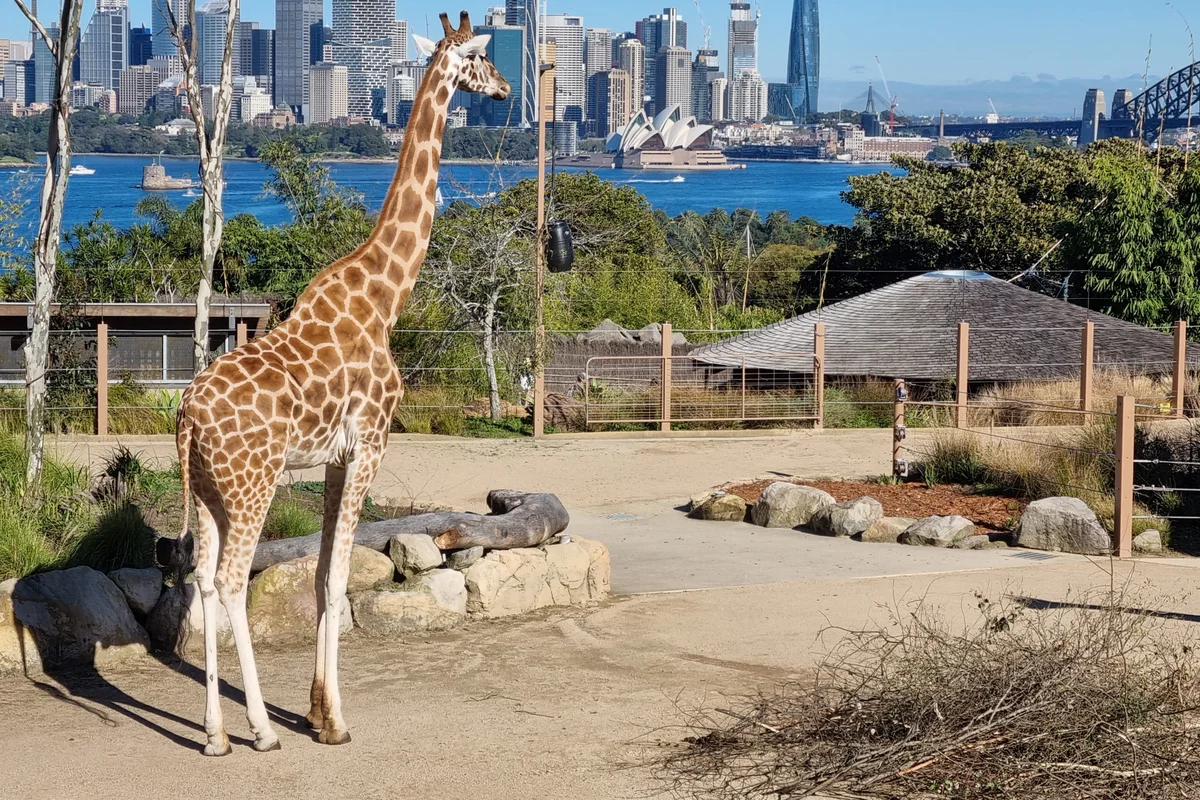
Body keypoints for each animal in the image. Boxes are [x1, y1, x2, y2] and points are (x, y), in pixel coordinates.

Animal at [174, 12, 509, 756]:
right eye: (482, 58)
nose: (505, 89)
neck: (383, 297)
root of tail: (185, 419)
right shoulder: (371, 445)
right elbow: (331, 580)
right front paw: (334, 720)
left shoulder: (332, 458)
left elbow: (329, 570)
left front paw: (320, 713)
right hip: (252, 484)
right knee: (232, 581)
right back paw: (260, 729)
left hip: (209, 491)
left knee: (204, 581)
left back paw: (214, 734)